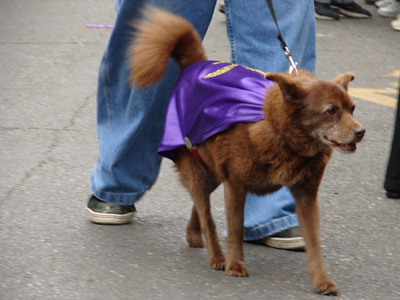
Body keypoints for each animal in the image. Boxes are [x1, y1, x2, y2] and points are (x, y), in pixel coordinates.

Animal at [128, 7, 366, 296]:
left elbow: (314, 243)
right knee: (206, 212)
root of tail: (195, 65)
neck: (282, 134)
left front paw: (322, 281)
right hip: (196, 168)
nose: (361, 132)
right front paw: (235, 265)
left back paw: (193, 234)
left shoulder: (306, 196)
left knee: (200, 205)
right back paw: (216, 256)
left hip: (212, 171)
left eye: (352, 109)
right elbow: (235, 228)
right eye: (331, 111)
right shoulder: (236, 184)